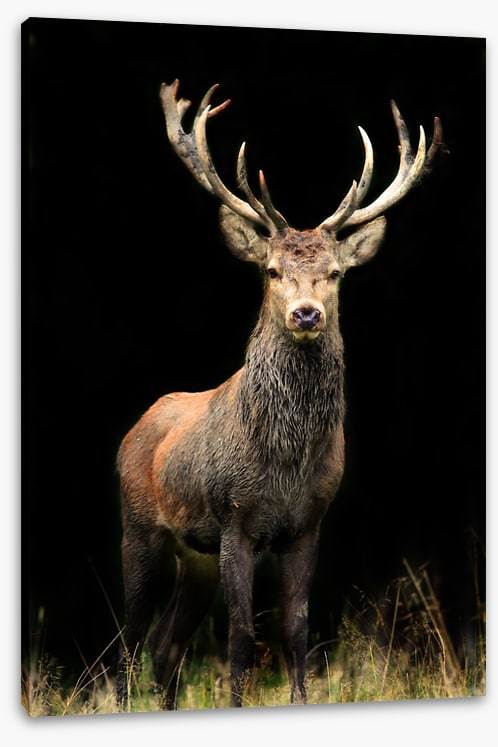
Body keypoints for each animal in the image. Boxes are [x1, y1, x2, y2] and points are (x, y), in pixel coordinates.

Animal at [116, 79, 444, 709]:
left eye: (336, 273)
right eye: (270, 270)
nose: (307, 313)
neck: (284, 464)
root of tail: (133, 429)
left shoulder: (310, 522)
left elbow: (296, 630)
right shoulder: (234, 517)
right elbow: (243, 635)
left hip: (193, 553)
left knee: (165, 647)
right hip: (139, 525)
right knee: (128, 637)